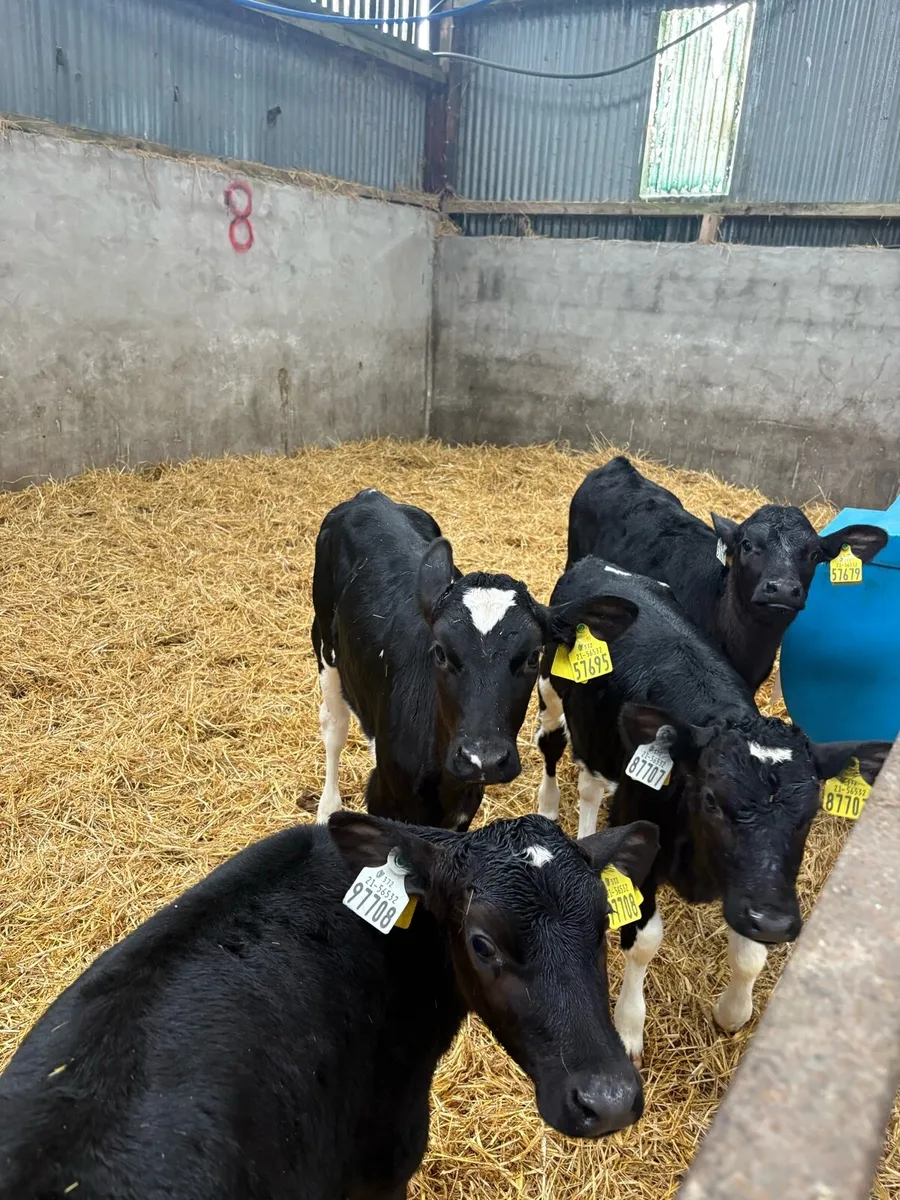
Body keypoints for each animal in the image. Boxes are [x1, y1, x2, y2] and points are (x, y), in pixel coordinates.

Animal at [312, 488, 639, 830]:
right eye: (440, 652)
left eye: (533, 656)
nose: (484, 760)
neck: (442, 785)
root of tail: (370, 495)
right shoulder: (382, 799)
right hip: (324, 645)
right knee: (334, 725)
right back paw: (327, 807)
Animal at [535, 556, 892, 1063]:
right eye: (711, 800)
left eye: (811, 811)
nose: (776, 922)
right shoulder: (643, 848)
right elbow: (644, 942)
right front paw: (628, 1027)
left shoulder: (754, 882)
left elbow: (751, 952)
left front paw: (733, 1011)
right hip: (550, 688)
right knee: (555, 744)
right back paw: (553, 808)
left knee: (590, 783)